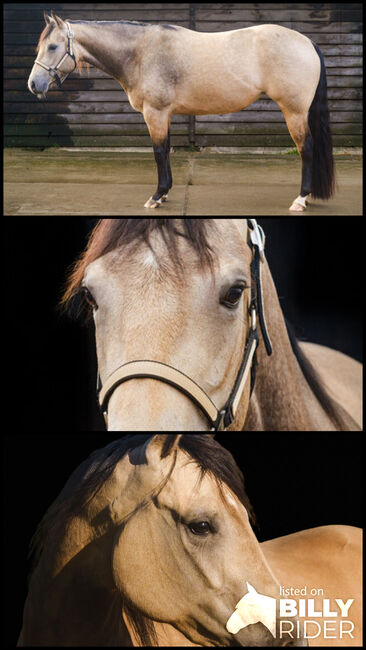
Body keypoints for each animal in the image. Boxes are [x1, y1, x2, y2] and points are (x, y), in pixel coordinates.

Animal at [27, 11, 334, 211]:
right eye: (40, 45)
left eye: (52, 46)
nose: (33, 84)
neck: (140, 53)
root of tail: (307, 42)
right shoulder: (165, 114)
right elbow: (166, 150)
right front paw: (164, 194)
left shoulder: (155, 112)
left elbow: (158, 152)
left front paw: (156, 196)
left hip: (294, 111)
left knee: (306, 148)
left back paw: (300, 199)